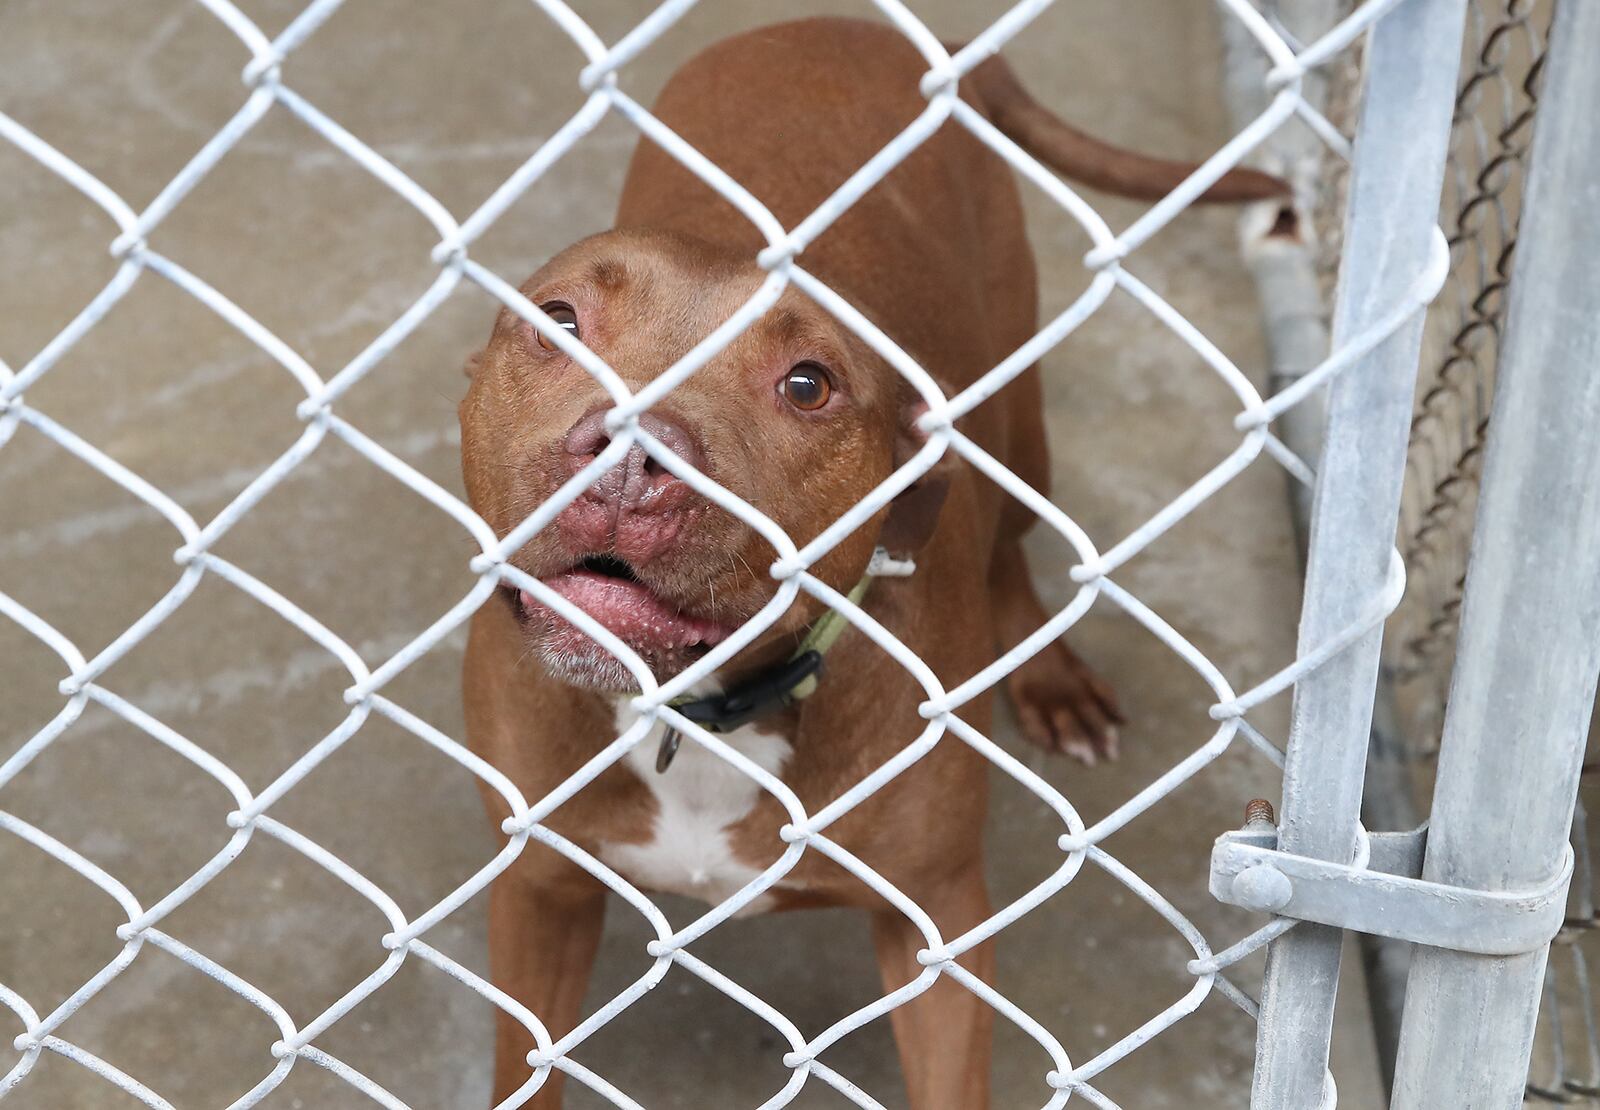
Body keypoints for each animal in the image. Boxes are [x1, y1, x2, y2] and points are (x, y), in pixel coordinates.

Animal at [457, 19, 1280, 1110]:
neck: (705, 717)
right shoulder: (538, 890)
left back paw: (1053, 680)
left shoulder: (937, 930)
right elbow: (527, 1061)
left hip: (1018, 427)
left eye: (809, 384)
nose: (629, 459)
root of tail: (867, 27)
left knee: (1015, 548)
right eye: (556, 322)